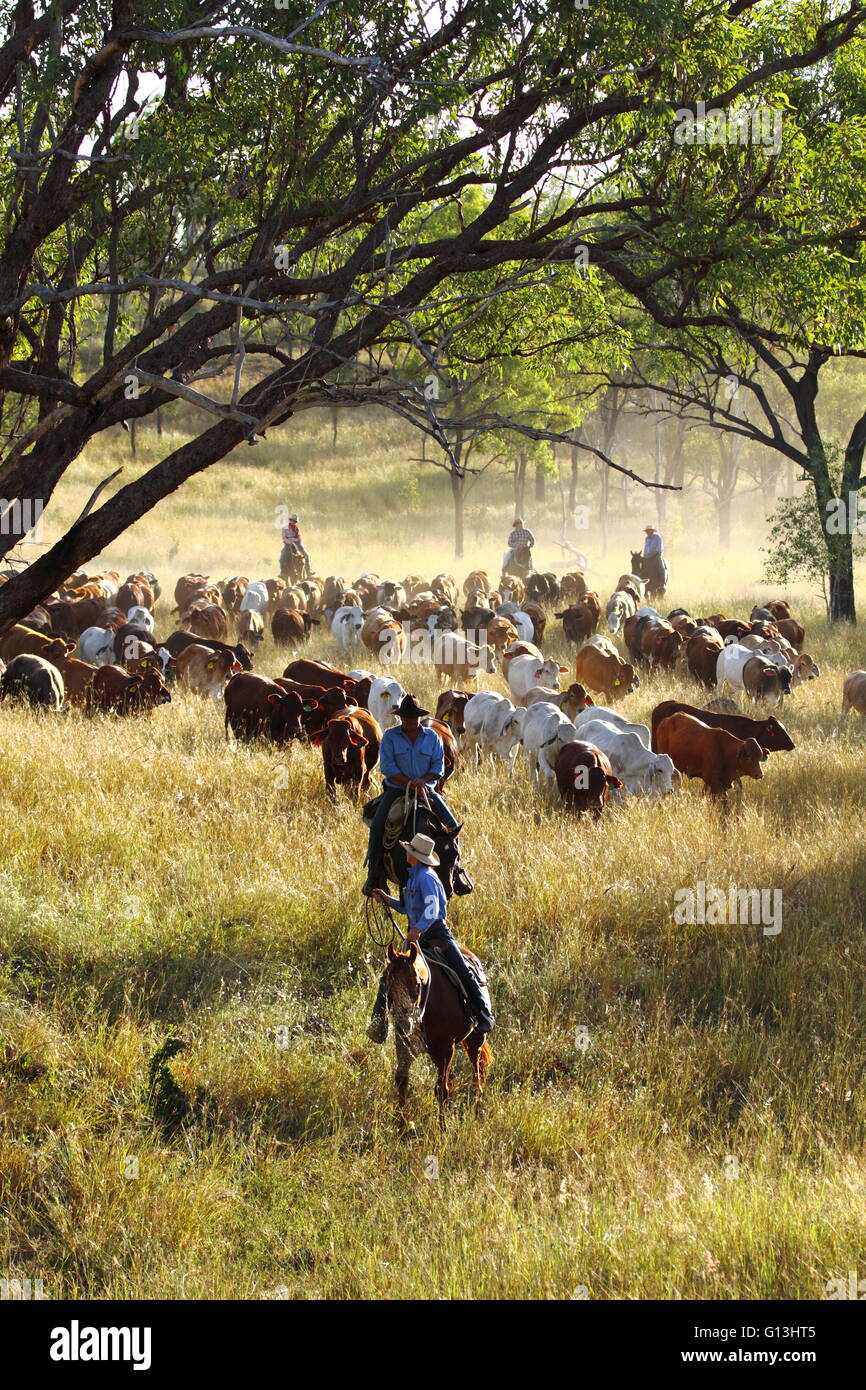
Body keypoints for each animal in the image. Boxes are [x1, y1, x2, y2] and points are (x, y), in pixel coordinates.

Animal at [383, 939, 492, 1123]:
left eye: (417, 983)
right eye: (389, 984)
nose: (404, 1024)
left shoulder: (446, 1050)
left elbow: (441, 1090)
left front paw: (443, 1126)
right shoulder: (404, 1046)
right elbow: (402, 1080)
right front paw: (401, 1123)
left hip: (475, 1038)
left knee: (475, 1064)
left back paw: (476, 1100)